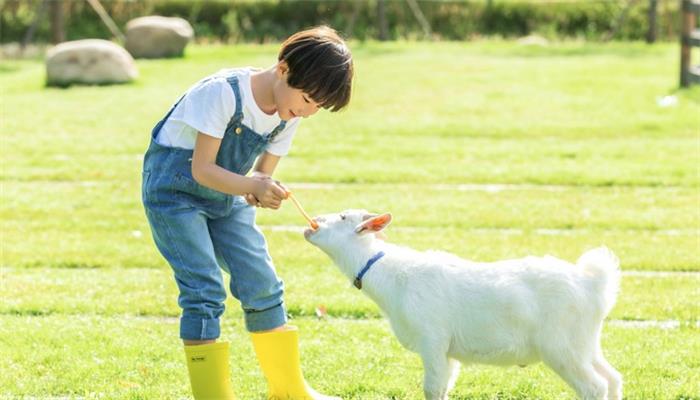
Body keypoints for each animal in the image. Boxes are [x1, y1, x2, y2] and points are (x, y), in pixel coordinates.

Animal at [304, 209, 620, 400]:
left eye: (343, 216)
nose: (311, 223)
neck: (392, 276)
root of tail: (594, 283)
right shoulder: (449, 352)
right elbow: (443, 388)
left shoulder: (432, 339)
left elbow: (431, 388)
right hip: (584, 344)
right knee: (613, 378)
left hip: (561, 347)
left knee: (595, 386)